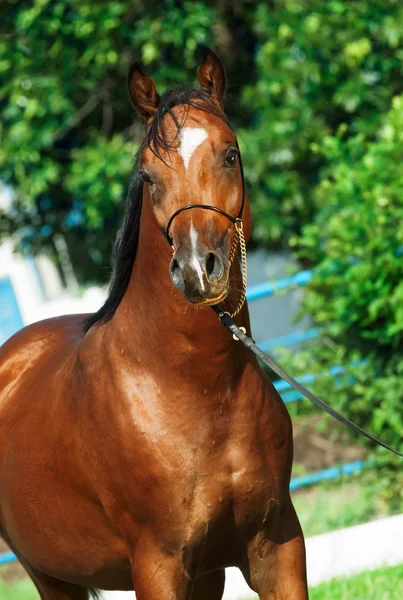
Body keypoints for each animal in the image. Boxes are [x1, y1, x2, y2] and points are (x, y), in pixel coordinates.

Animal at [0, 48, 310, 600]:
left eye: (230, 154)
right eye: (147, 176)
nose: (197, 269)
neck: (195, 386)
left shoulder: (278, 549)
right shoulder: (157, 566)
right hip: (49, 575)